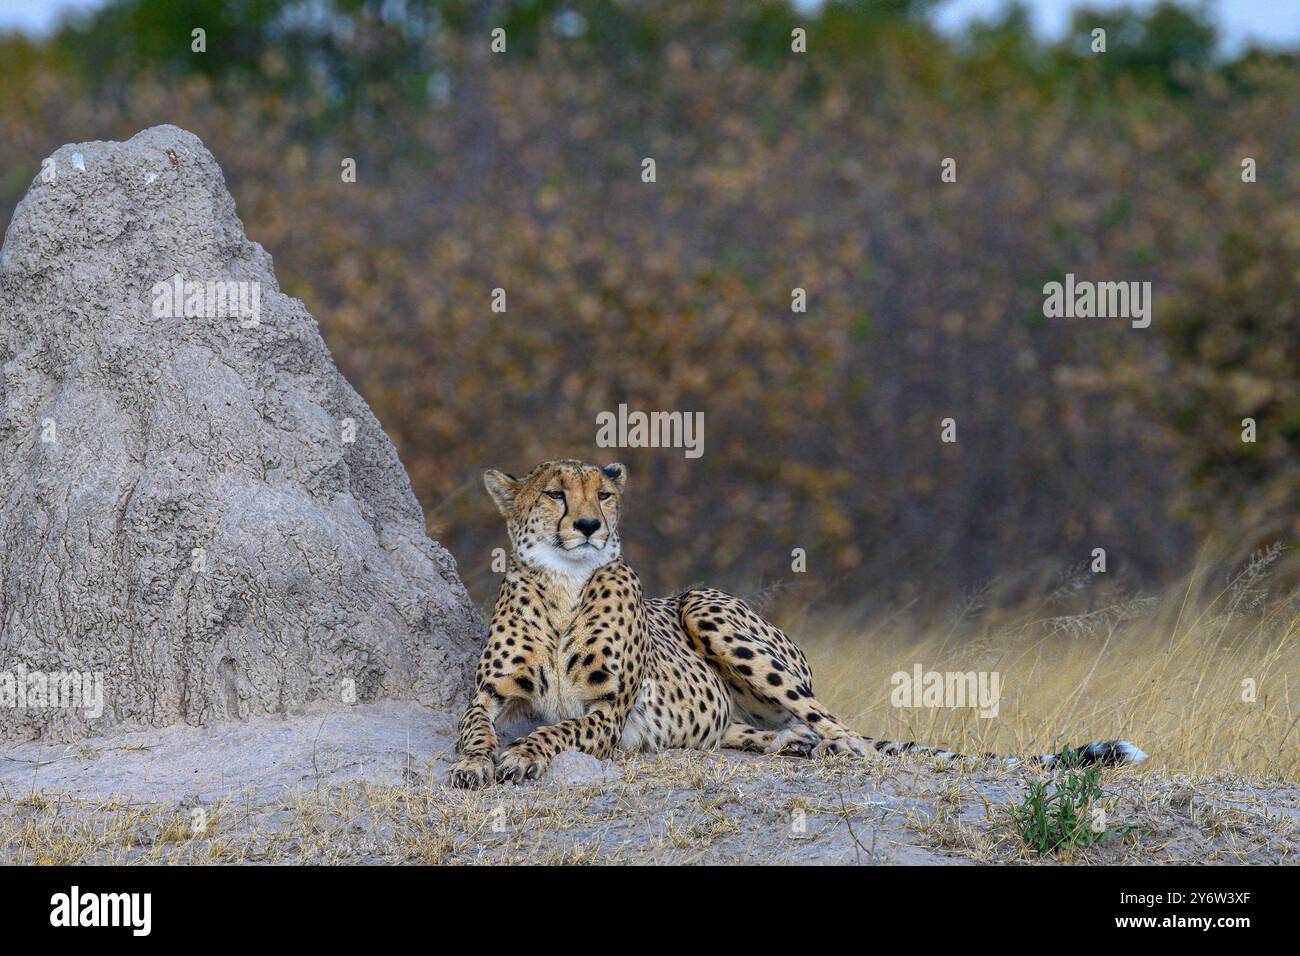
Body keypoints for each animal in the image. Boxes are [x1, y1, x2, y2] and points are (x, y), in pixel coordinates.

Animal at [449, 460, 1149, 790]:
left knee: (849, 734)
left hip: (708, 609)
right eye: (555, 494)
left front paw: (520, 757)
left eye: (605, 494)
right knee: (768, 731)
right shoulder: (488, 694)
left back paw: (835, 749)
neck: (563, 587)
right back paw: (792, 746)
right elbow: (474, 728)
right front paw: (475, 763)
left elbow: (557, 729)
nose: (591, 525)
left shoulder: (607, 710)